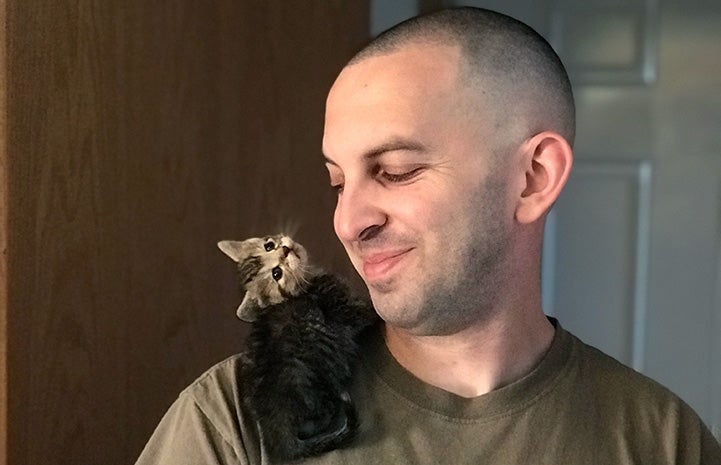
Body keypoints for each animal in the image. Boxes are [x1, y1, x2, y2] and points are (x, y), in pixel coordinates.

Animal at [217, 236, 376, 460]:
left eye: (269, 245)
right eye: (277, 274)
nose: (285, 250)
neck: (305, 284)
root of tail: (273, 424)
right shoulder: (343, 307)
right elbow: (368, 313)